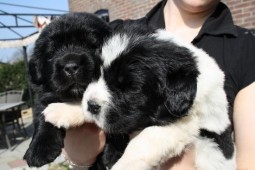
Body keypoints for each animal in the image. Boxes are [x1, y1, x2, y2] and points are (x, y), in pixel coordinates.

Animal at [22, 12, 109, 167]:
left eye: (92, 45)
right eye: (51, 53)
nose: (71, 66)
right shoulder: (43, 96)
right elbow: (42, 115)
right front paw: (39, 149)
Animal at [43, 20, 235, 169]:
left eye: (131, 87)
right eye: (96, 75)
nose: (92, 106)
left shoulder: (188, 124)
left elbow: (145, 140)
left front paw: (123, 165)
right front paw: (64, 109)